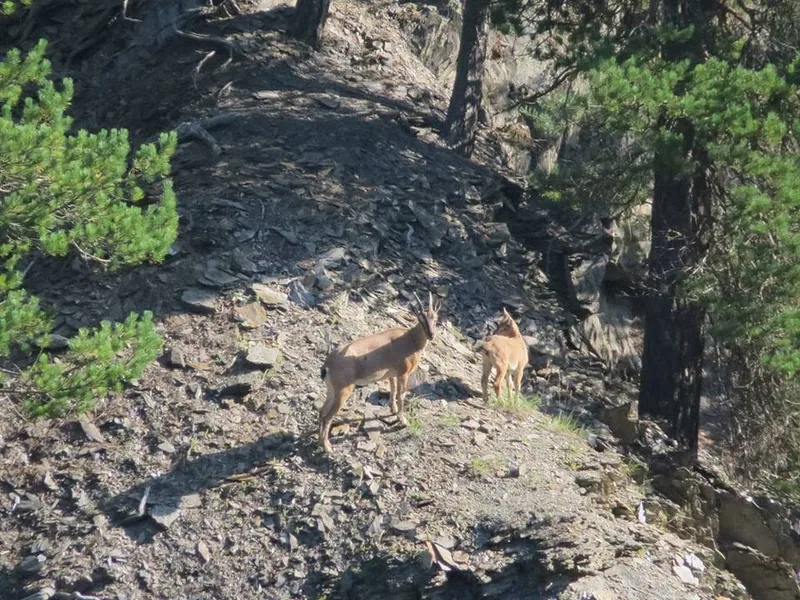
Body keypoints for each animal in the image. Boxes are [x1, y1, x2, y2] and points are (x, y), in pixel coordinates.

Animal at [318, 292, 442, 453]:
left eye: (435, 318)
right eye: (421, 318)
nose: (431, 335)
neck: (410, 340)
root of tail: (327, 365)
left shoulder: (392, 374)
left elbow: (393, 390)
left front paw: (393, 410)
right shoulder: (403, 374)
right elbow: (401, 394)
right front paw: (403, 421)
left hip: (332, 390)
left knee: (321, 412)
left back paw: (320, 441)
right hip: (343, 392)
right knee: (328, 417)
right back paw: (327, 447)